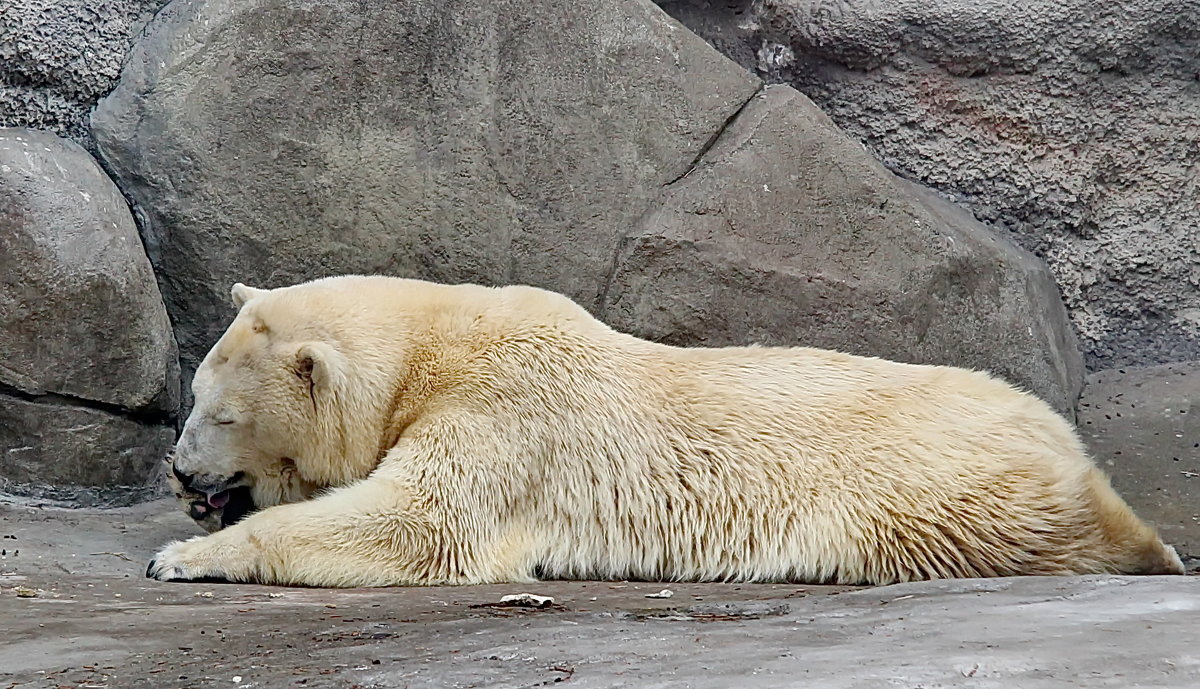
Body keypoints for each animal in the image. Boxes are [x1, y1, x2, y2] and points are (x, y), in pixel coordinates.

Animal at [147, 276, 1180, 588]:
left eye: (219, 411)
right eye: (193, 397)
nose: (180, 472)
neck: (434, 345)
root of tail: (1055, 427)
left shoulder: (506, 414)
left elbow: (421, 523)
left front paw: (184, 557)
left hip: (933, 485)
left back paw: (1151, 546)